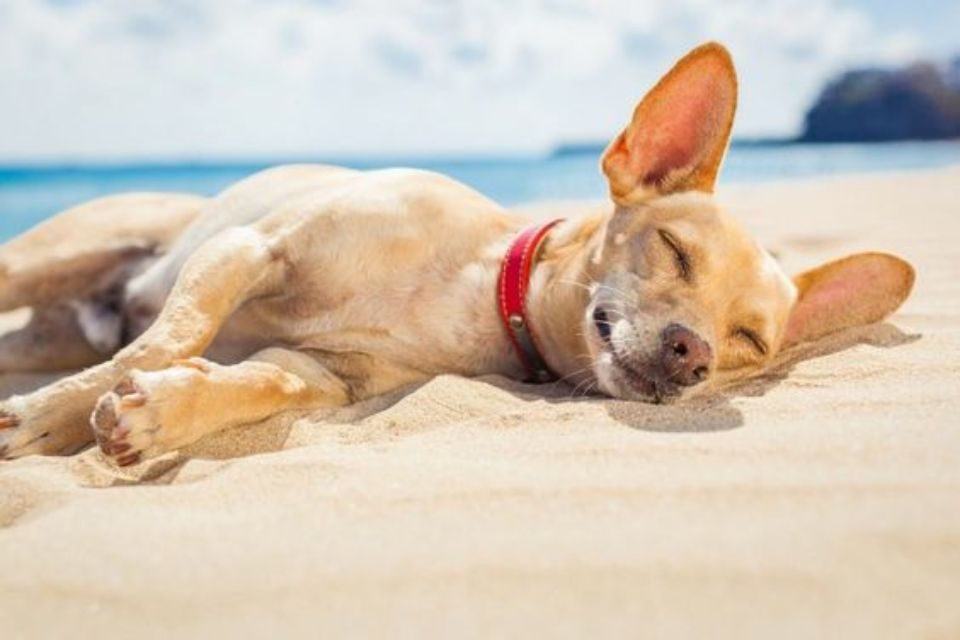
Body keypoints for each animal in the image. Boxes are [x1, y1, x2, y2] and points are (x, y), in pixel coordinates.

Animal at [0, 43, 916, 464]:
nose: (694, 354)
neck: (474, 291)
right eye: (675, 249)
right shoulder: (249, 248)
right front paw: (47, 417)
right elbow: (169, 337)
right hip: (58, 257)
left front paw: (160, 413)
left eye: (749, 342)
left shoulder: (323, 372)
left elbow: (256, 381)